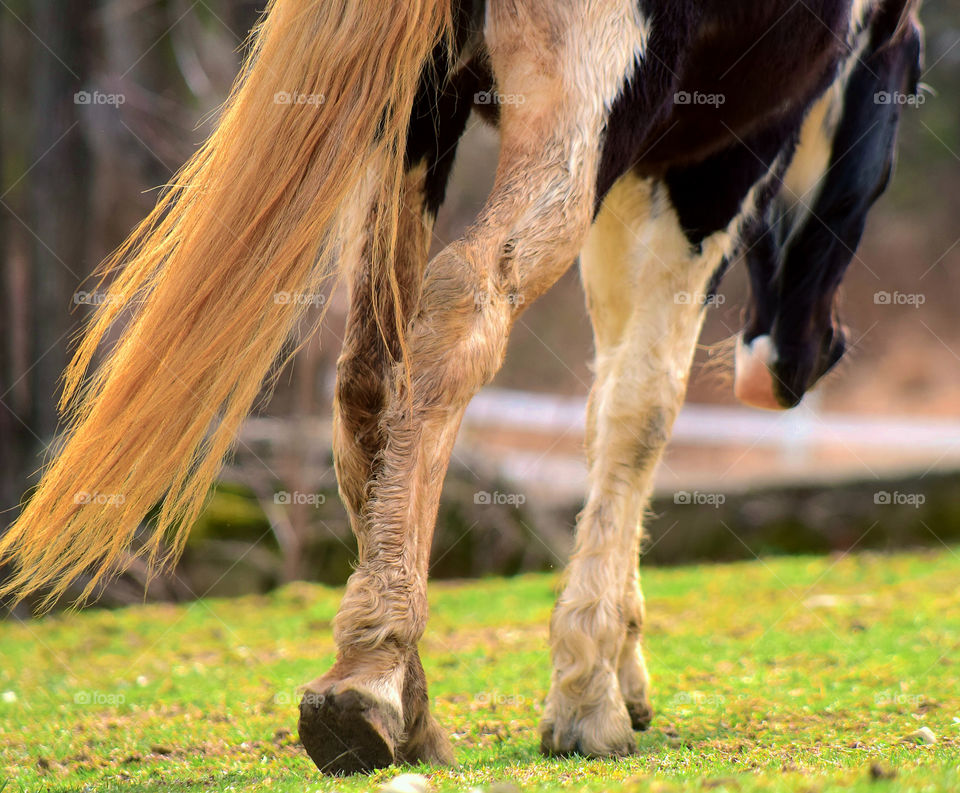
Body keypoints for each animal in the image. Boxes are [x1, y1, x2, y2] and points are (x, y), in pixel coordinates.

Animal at [0, 0, 924, 772]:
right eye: (910, 85)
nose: (800, 363)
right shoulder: (709, 160)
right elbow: (641, 408)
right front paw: (587, 699)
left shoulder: (639, 163)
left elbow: (601, 403)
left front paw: (621, 668)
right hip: (570, 112)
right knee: (463, 307)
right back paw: (370, 679)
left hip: (417, 112)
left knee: (369, 369)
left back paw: (394, 702)